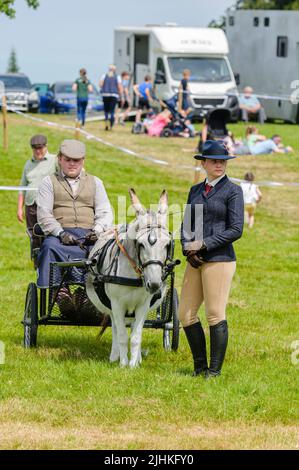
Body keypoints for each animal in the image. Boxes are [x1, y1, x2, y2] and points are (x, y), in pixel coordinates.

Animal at [85, 188, 172, 368]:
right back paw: (114, 356)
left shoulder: (143, 305)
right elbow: (122, 336)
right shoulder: (117, 305)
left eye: (167, 244)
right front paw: (123, 364)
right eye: (141, 244)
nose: (154, 284)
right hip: (111, 306)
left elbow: (136, 336)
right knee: (116, 328)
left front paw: (133, 365)